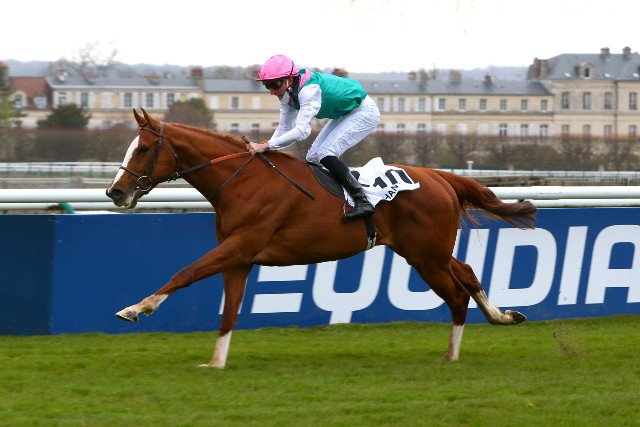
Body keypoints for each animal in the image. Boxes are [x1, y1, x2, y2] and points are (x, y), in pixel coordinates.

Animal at [106, 108, 537, 368]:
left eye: (144, 148)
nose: (115, 192)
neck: (242, 181)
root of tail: (442, 177)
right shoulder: (239, 257)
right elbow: (229, 312)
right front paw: (216, 362)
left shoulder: (239, 245)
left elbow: (185, 273)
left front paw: (136, 308)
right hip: (427, 251)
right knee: (467, 273)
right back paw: (502, 316)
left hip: (426, 256)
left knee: (457, 295)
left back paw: (451, 355)